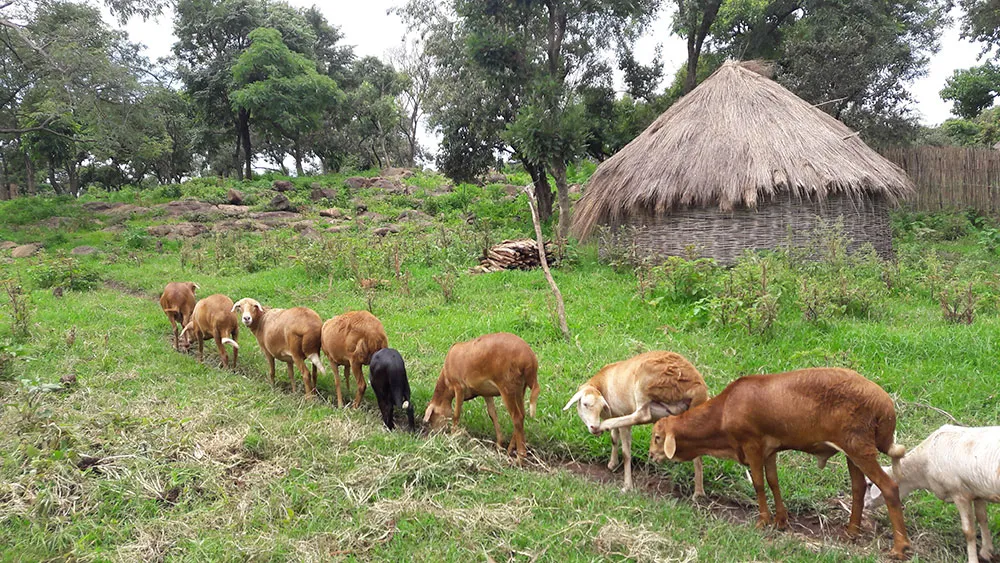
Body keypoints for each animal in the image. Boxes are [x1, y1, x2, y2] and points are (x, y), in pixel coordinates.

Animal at [423, 332, 540, 463]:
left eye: (433, 416)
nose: (435, 433)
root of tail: (530, 360)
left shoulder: (459, 387)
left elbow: (456, 414)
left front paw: (453, 436)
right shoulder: (486, 393)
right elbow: (492, 414)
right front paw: (499, 444)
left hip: (507, 387)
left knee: (517, 417)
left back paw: (520, 457)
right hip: (520, 389)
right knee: (522, 414)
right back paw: (510, 449)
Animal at [564, 350, 709, 493]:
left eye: (600, 406)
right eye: (585, 404)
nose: (594, 427)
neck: (603, 383)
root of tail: (697, 387)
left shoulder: (622, 415)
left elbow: (626, 453)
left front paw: (627, 485)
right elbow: (614, 438)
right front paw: (613, 463)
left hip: (644, 382)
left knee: (642, 415)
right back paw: (699, 492)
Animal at [650, 367, 911, 560]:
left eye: (657, 437)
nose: (652, 456)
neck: (723, 414)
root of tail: (885, 406)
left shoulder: (752, 444)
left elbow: (758, 484)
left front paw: (763, 521)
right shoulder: (770, 449)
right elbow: (773, 481)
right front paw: (781, 521)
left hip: (859, 447)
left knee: (889, 487)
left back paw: (900, 547)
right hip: (853, 449)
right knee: (858, 488)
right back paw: (851, 532)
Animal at [865, 425, 1000, 563]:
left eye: (869, 484)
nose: (864, 506)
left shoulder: (959, 494)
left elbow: (969, 532)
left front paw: (973, 559)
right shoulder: (977, 492)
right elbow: (982, 519)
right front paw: (986, 552)